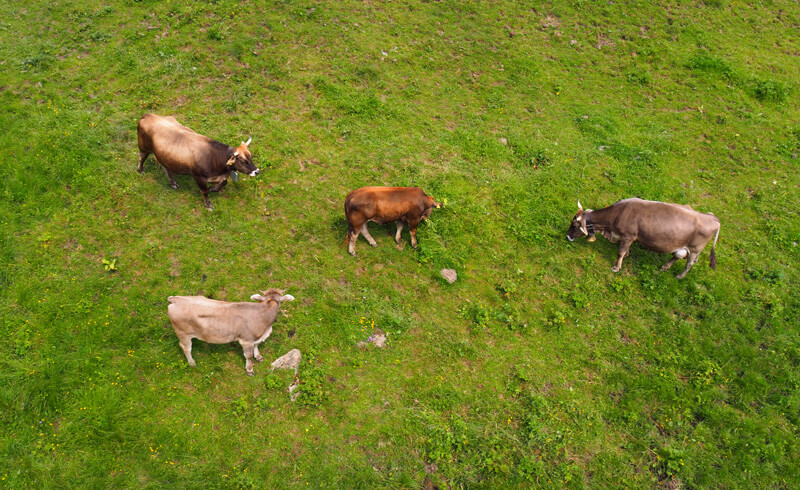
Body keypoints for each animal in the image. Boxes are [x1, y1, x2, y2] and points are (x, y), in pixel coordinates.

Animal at [167, 288, 296, 376]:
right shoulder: (246, 340)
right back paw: (192, 363)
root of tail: (175, 299)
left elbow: (257, 345)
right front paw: (250, 369)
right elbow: (248, 356)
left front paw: (258, 356)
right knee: (185, 348)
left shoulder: (256, 337)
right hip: (183, 334)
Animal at [564, 197, 720, 278]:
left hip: (695, 249)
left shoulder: (628, 235)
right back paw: (664, 267)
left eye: (574, 225)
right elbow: (625, 250)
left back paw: (679, 276)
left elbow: (620, 251)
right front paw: (627, 255)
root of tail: (713, 218)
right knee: (678, 255)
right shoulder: (627, 237)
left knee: (690, 263)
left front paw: (616, 267)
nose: (567, 236)